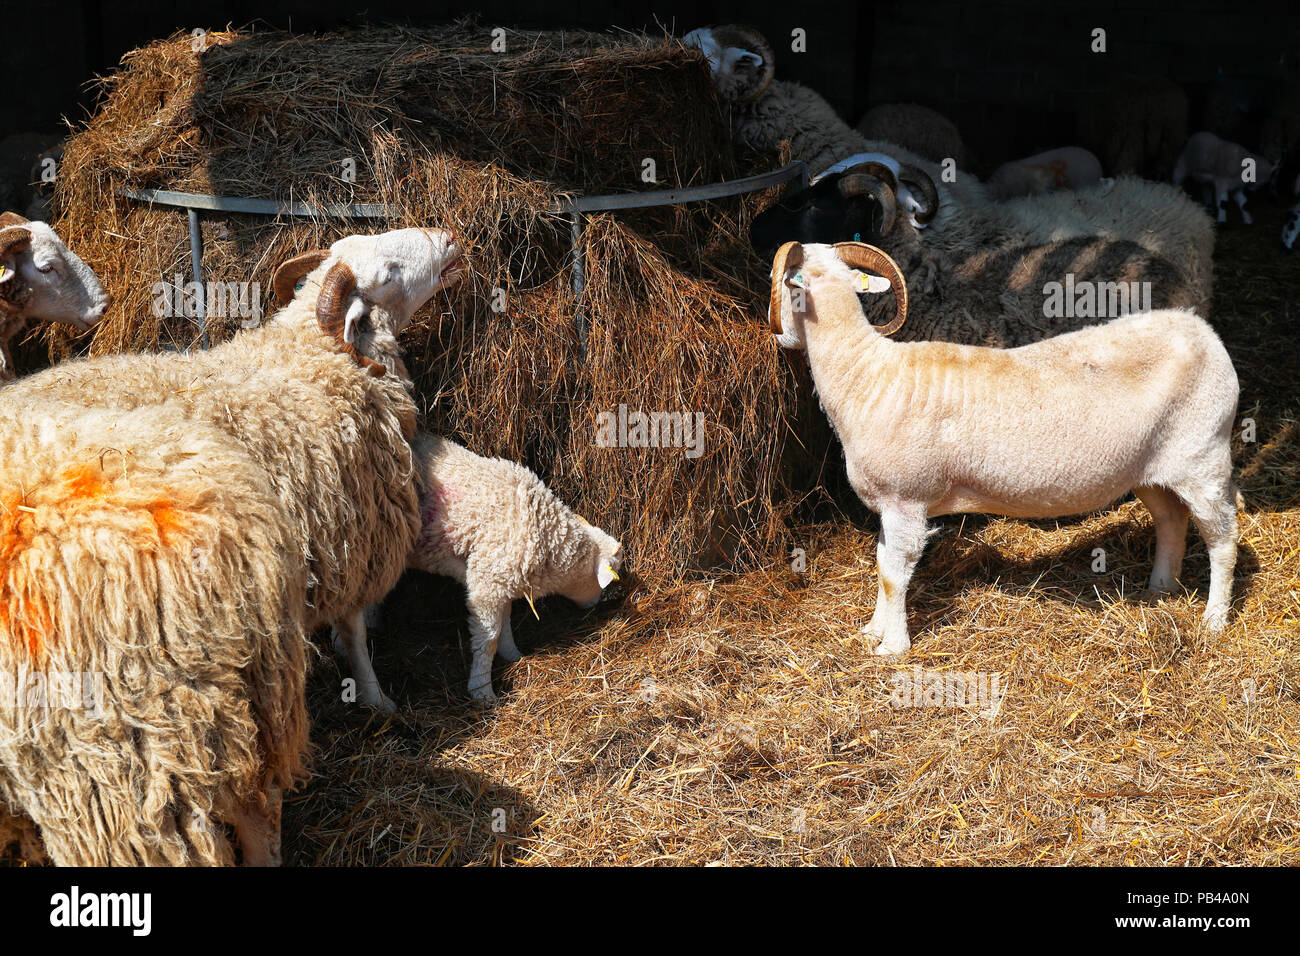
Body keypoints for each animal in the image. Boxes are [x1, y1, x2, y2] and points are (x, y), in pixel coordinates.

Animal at [335, 433, 624, 708]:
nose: (595, 605)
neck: (543, 528)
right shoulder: (487, 584)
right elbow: (488, 638)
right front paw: (482, 690)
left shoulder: (501, 579)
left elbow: (505, 622)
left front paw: (513, 654)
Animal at [769, 240, 1240, 655]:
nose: (780, 339)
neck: (866, 374)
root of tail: (1201, 329)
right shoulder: (889, 504)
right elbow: (883, 564)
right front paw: (873, 631)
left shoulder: (906, 499)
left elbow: (894, 574)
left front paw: (893, 647)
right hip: (1150, 470)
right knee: (1171, 521)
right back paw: (1161, 589)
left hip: (1204, 458)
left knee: (1223, 540)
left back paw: (1214, 621)